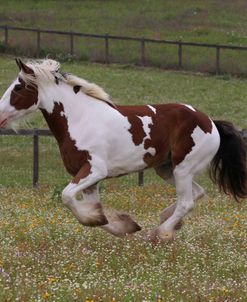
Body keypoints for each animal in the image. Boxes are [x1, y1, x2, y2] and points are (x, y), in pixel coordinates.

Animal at [0, 58, 246, 243]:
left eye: (18, 87)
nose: (0, 116)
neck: (80, 119)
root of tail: (211, 122)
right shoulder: (88, 177)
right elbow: (91, 208)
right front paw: (122, 225)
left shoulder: (94, 170)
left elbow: (67, 196)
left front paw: (110, 222)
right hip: (166, 169)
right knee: (197, 193)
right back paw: (168, 221)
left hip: (183, 168)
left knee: (187, 202)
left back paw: (160, 233)